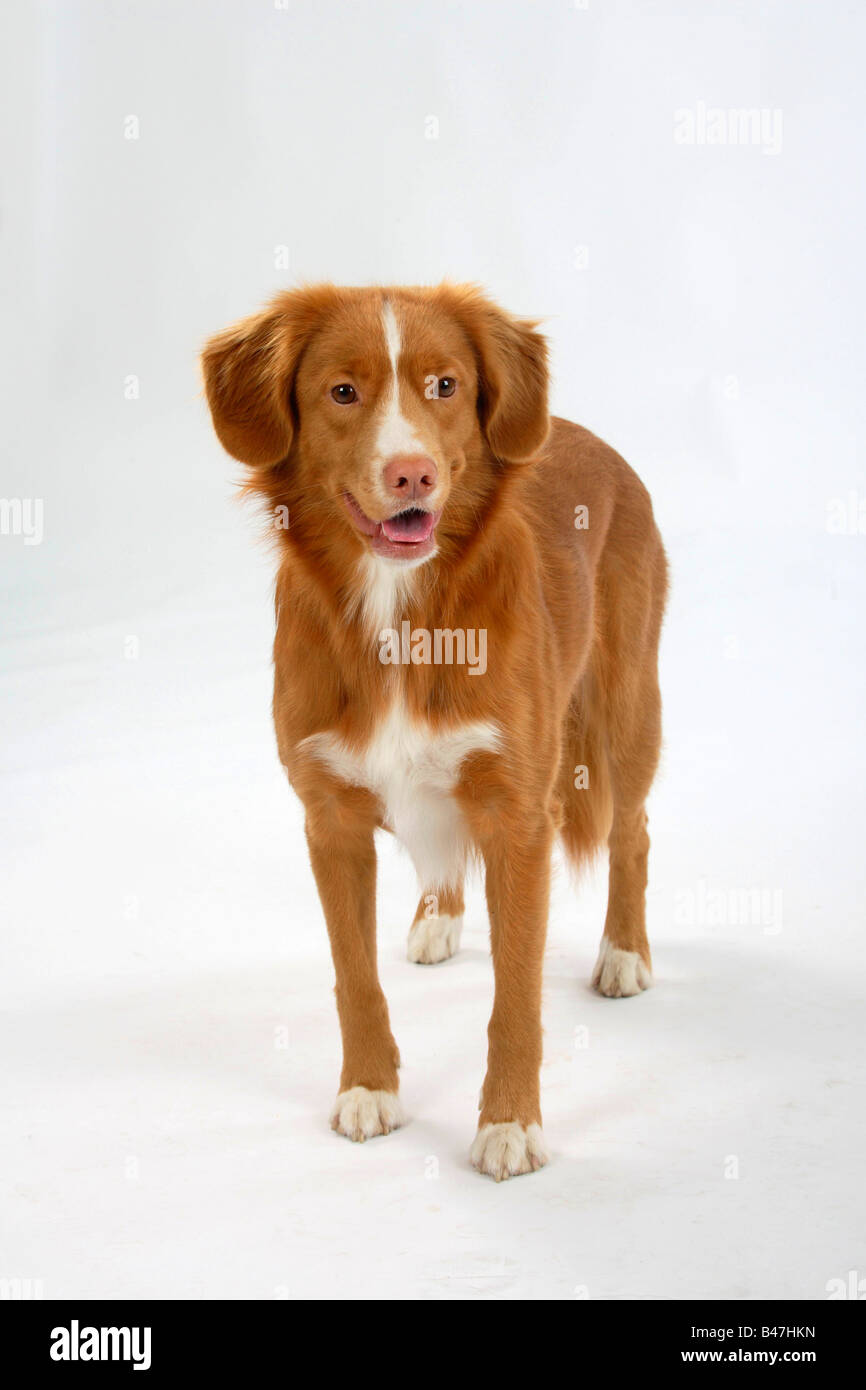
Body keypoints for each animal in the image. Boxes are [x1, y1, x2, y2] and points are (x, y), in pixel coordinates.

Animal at [202, 284, 670, 1184]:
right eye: (343, 392)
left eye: (445, 386)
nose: (411, 473)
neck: (398, 607)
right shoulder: (331, 819)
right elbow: (354, 977)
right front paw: (368, 1088)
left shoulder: (520, 815)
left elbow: (515, 996)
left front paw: (510, 1124)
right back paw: (439, 917)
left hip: (623, 708)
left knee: (632, 830)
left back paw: (624, 953)